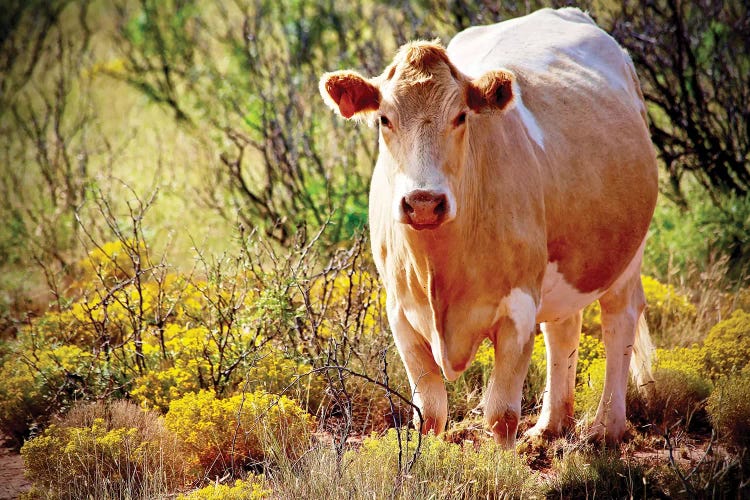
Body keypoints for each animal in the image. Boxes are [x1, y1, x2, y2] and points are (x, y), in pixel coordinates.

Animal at [320, 7, 660, 446]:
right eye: (384, 119)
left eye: (460, 116)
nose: (424, 202)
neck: (438, 268)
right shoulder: (399, 311)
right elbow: (430, 413)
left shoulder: (518, 309)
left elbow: (501, 414)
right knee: (563, 328)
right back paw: (551, 425)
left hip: (627, 252)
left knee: (619, 318)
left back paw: (606, 428)